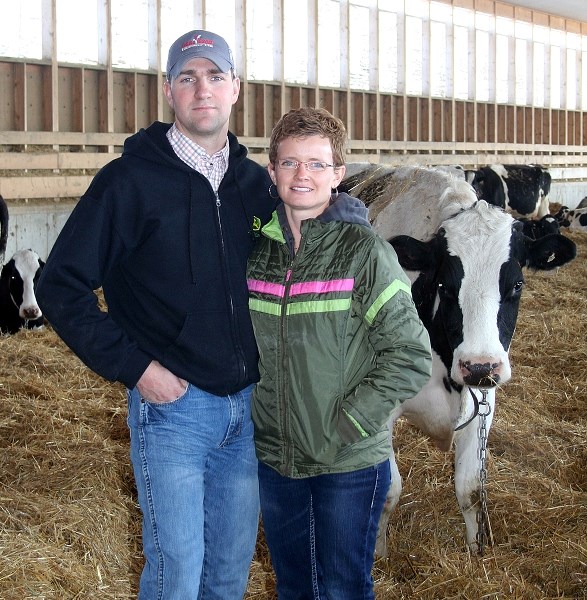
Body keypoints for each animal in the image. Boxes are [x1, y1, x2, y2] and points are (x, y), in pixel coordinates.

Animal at [340, 166, 576, 556]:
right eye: (445, 286)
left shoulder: (485, 400)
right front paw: (378, 553)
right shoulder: (375, 406)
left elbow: (471, 489)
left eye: (517, 285)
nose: (479, 366)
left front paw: (477, 552)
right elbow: (387, 491)